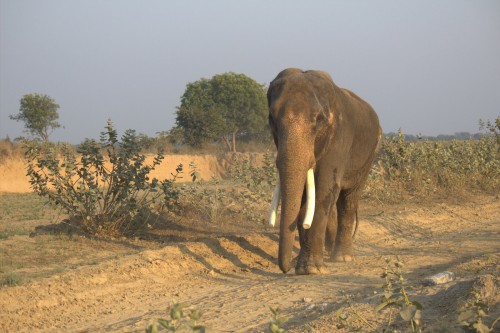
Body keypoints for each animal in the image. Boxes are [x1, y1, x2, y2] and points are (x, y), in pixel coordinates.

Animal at [268, 68, 380, 274]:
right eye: (271, 119)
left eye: (319, 120)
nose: (286, 268)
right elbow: (304, 197)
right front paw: (302, 267)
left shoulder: (339, 140)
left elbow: (323, 191)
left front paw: (311, 270)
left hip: (370, 155)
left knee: (348, 200)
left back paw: (342, 258)